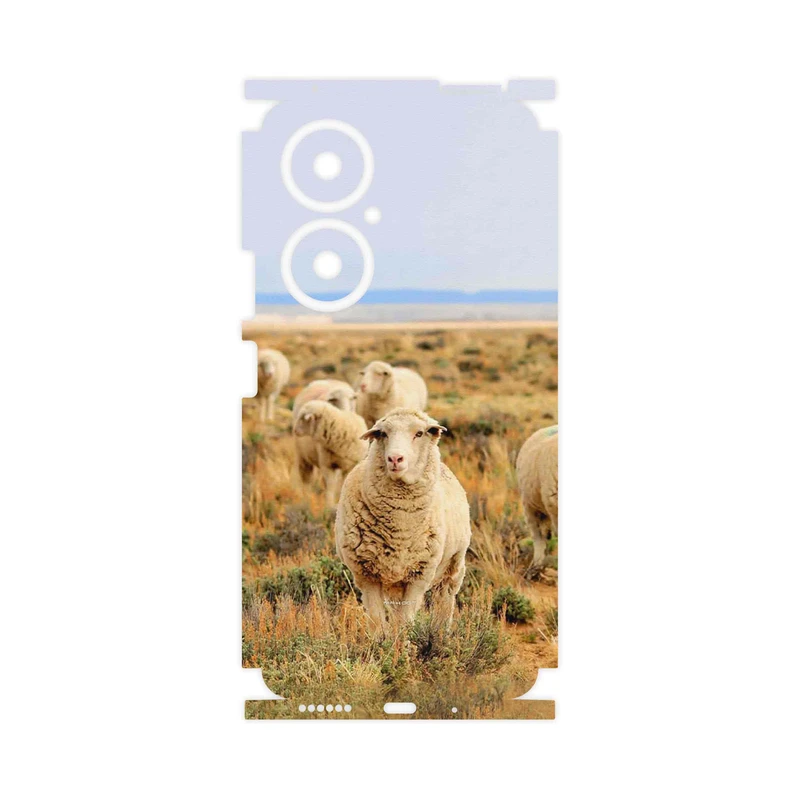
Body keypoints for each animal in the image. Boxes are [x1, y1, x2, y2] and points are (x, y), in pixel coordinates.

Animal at [335, 408, 470, 632]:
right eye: (383, 434)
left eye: (419, 433)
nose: (395, 458)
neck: (400, 527)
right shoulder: (366, 575)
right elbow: (377, 621)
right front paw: (383, 641)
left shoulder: (419, 575)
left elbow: (405, 621)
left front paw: (405, 641)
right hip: (394, 581)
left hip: (453, 565)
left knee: (445, 599)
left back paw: (441, 632)